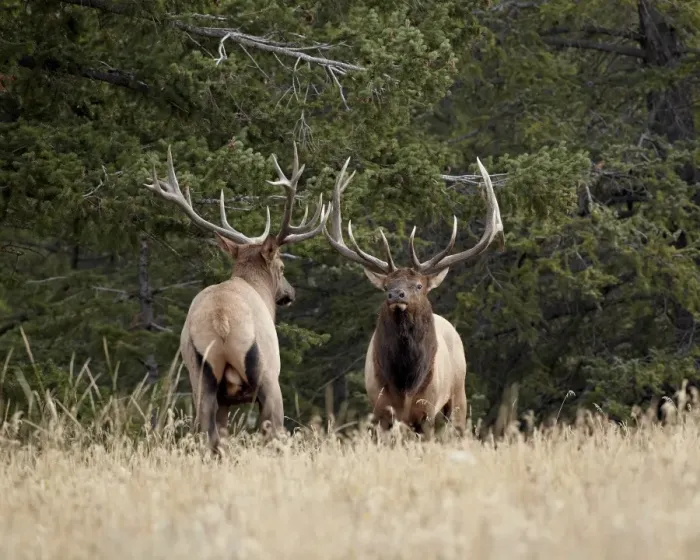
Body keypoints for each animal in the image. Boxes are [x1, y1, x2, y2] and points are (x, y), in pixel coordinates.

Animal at [144, 142, 330, 453]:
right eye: (282, 266)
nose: (289, 293)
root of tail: (221, 321)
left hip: (201, 378)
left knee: (210, 435)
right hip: (267, 376)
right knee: (273, 431)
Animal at [322, 158, 504, 439]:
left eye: (418, 285)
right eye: (386, 285)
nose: (395, 294)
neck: (405, 384)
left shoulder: (426, 410)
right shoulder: (382, 409)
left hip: (458, 395)